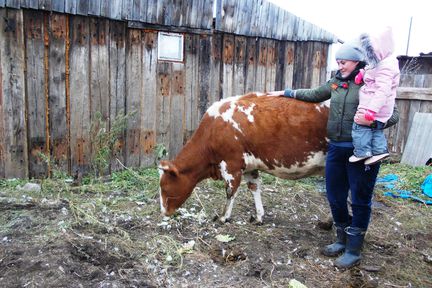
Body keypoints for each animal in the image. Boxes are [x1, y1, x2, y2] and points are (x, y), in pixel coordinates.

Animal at [160, 92, 330, 223]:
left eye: (164, 187)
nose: (164, 212)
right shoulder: (249, 166)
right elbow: (254, 187)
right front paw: (259, 216)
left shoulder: (231, 165)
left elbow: (231, 191)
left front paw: (224, 217)